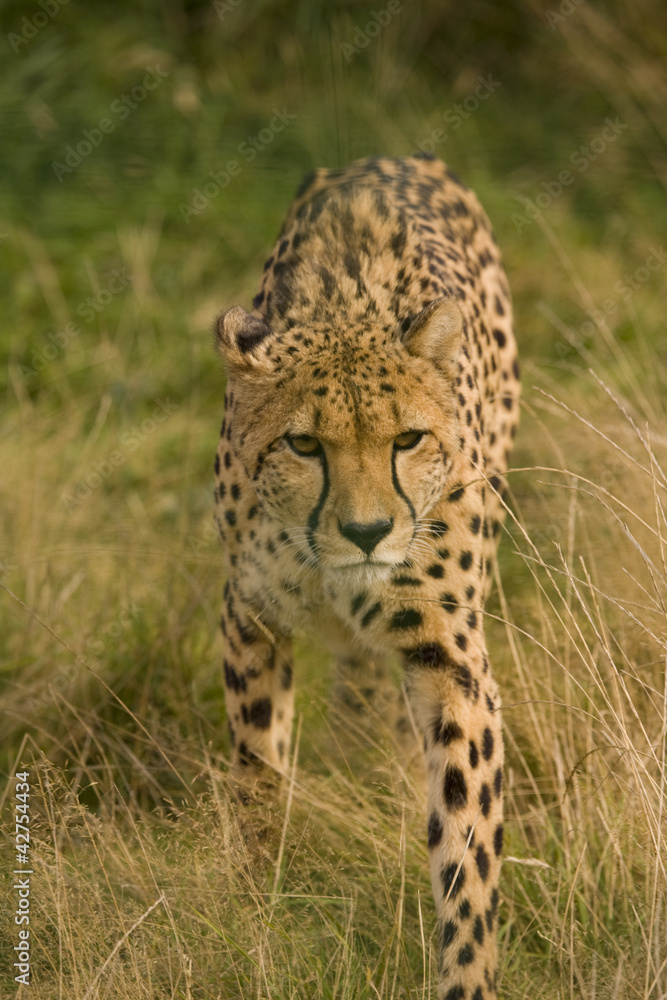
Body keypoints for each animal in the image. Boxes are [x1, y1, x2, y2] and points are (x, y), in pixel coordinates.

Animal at [214, 153, 520, 999]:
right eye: (303, 445)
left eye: (407, 439)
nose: (365, 532)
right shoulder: (250, 618)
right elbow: (257, 773)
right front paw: (254, 906)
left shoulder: (448, 654)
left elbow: (466, 844)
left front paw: (465, 976)